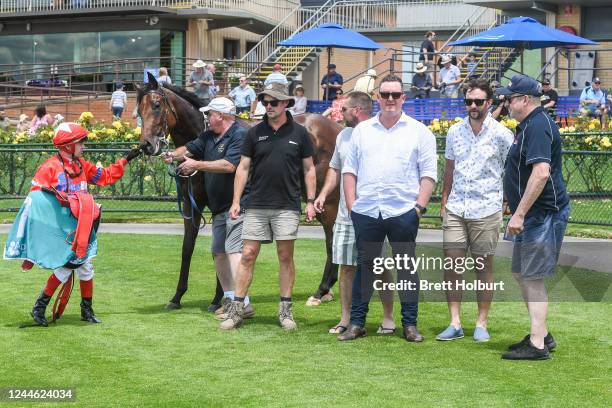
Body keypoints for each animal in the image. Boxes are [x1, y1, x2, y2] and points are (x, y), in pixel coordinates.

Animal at [136, 74, 342, 310]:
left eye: (156, 105)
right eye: (139, 110)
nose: (147, 145)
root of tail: (339, 130)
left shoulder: (223, 204)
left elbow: (223, 247)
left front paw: (219, 299)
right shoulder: (191, 205)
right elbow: (188, 248)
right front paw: (177, 297)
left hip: (326, 201)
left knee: (331, 238)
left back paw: (321, 290)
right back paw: (326, 290)